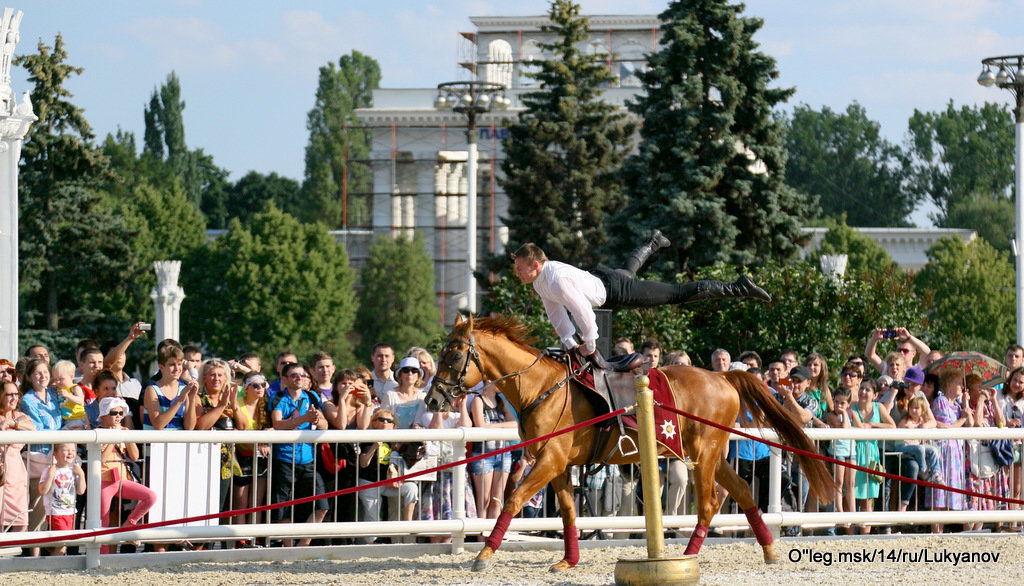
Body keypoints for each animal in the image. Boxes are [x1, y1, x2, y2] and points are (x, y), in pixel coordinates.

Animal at [423, 315, 831, 573]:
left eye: (454, 355)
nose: (432, 400)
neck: (541, 388)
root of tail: (724, 377)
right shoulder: (557, 464)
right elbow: (568, 511)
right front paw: (568, 560)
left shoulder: (550, 461)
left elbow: (513, 499)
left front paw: (484, 555)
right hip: (714, 455)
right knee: (744, 492)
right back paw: (769, 549)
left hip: (704, 455)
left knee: (710, 503)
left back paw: (687, 556)